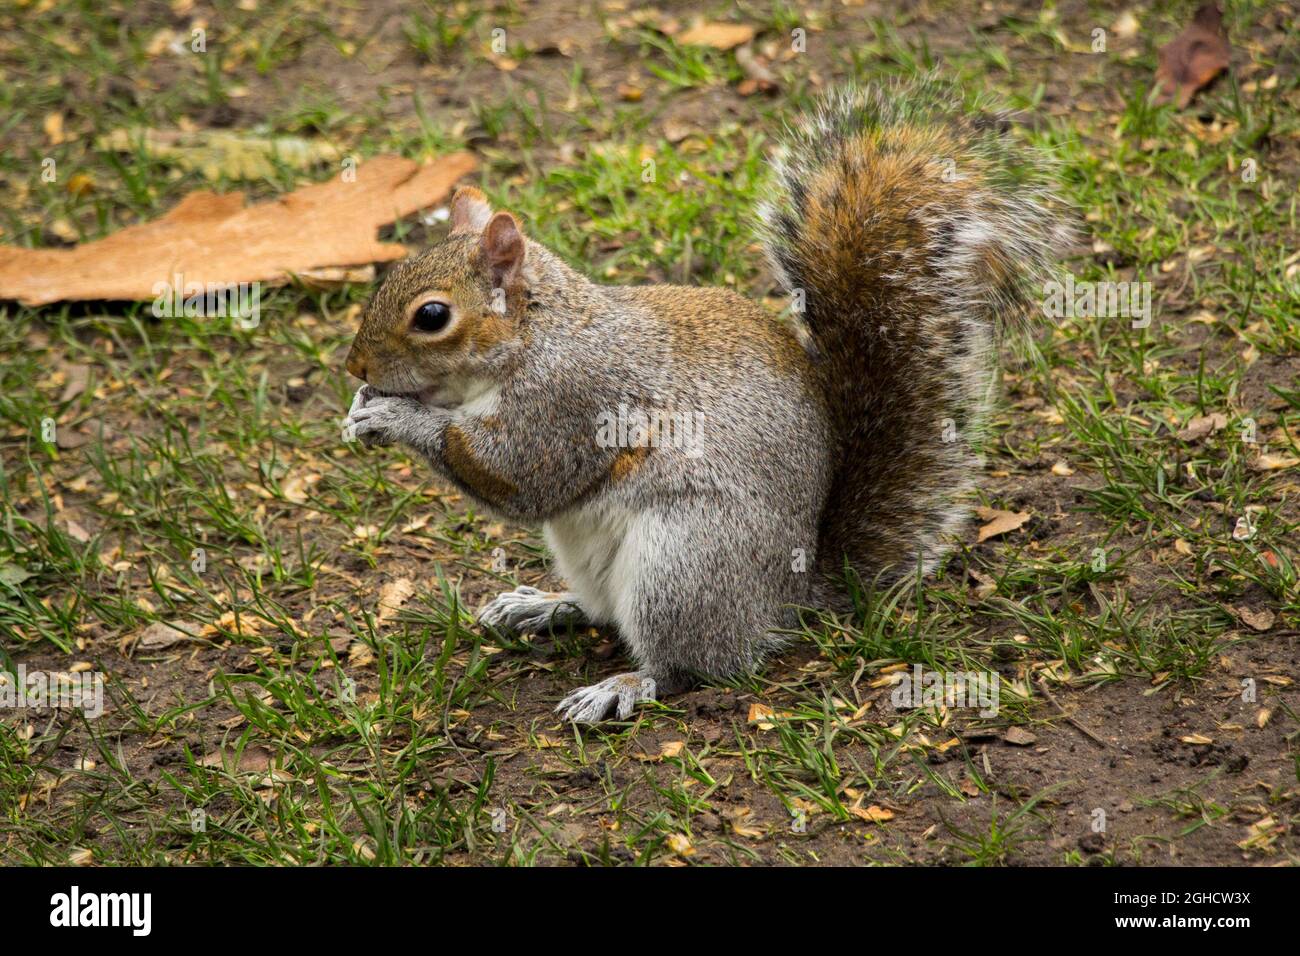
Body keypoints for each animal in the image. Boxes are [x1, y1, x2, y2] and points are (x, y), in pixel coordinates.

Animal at [343, 78, 1066, 723]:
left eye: (432, 316)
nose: (354, 364)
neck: (539, 335)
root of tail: (787, 600)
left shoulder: (570, 402)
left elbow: (516, 476)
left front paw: (394, 416)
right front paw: (360, 408)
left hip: (683, 563)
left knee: (691, 664)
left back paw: (626, 686)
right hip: (597, 557)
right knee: (602, 611)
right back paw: (545, 606)